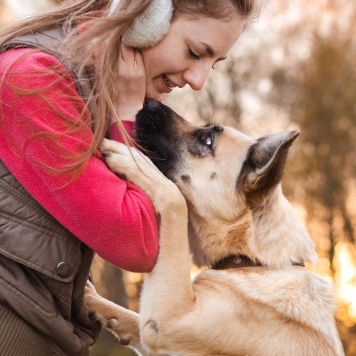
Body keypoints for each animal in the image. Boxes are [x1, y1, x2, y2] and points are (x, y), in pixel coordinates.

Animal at [85, 98, 344, 354]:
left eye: (207, 140)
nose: (149, 102)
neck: (252, 260)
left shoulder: (169, 319)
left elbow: (174, 200)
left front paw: (135, 162)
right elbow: (131, 318)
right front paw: (92, 299)